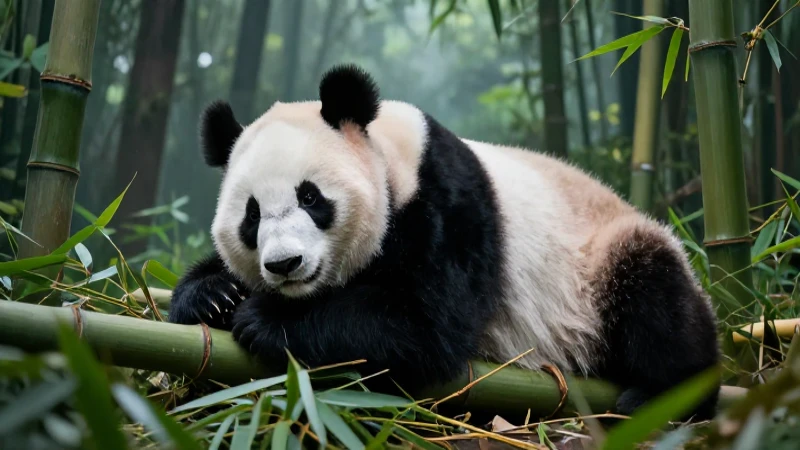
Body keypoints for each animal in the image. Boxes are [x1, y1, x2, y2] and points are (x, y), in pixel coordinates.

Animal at [169, 64, 720, 420]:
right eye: (252, 215)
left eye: (311, 197)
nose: (285, 264)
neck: (390, 157)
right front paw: (214, 296)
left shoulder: (449, 209)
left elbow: (424, 326)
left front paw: (264, 320)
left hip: (599, 261)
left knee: (657, 300)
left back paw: (662, 396)